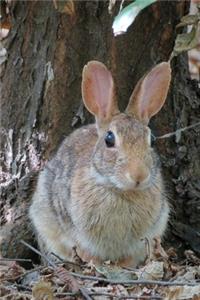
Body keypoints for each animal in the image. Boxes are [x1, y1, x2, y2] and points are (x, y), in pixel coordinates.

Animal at [28, 61, 171, 268]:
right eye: (109, 139)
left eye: (151, 140)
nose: (139, 175)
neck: (120, 190)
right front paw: (93, 263)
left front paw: (124, 266)